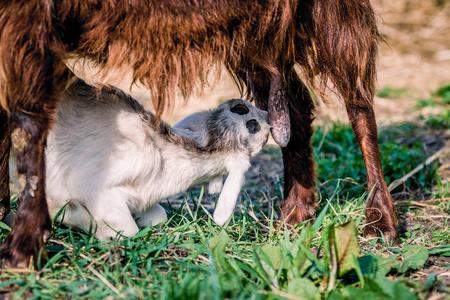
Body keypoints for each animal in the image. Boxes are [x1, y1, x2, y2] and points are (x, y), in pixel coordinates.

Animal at [0, 0, 398, 268]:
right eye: (244, 117)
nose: (257, 117)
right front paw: (14, 221)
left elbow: (30, 123)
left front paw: (23, 247)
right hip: (257, 30)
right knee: (295, 104)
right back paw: (297, 212)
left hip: (325, 14)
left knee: (357, 100)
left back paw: (380, 220)